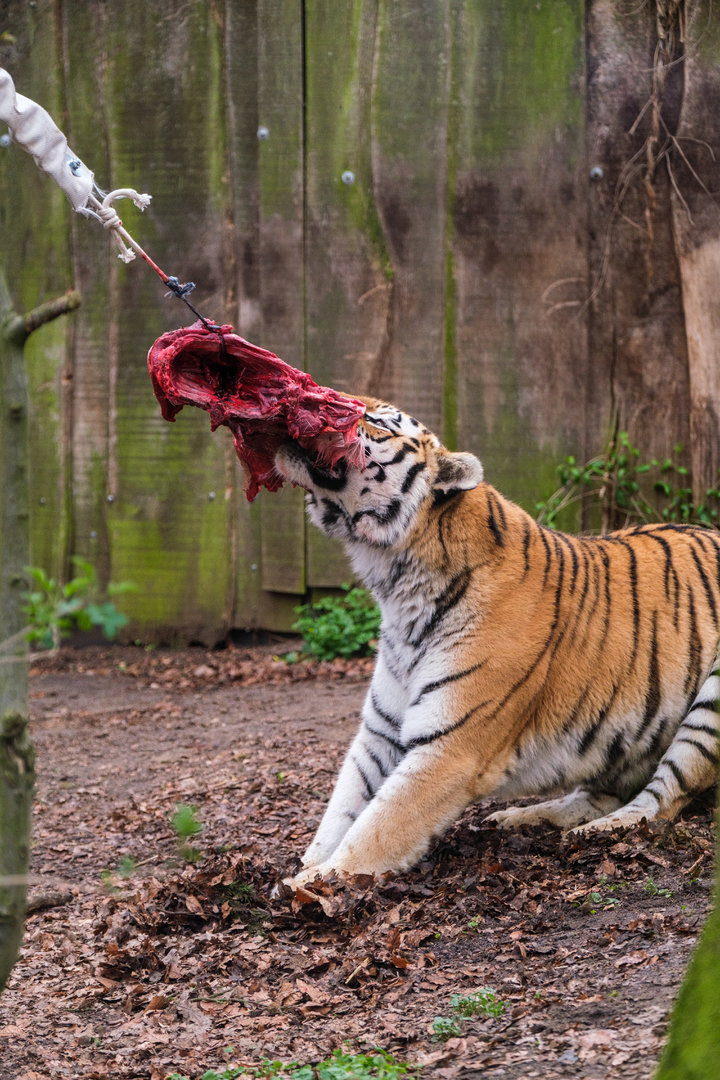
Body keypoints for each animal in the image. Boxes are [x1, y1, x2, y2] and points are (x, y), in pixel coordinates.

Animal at [274, 397, 720, 886]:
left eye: (378, 421)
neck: (395, 582)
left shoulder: (453, 747)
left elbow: (379, 827)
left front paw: (309, 885)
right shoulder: (380, 732)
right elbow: (343, 809)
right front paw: (308, 864)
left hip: (709, 708)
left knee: (662, 801)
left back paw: (600, 832)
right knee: (605, 791)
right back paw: (521, 819)